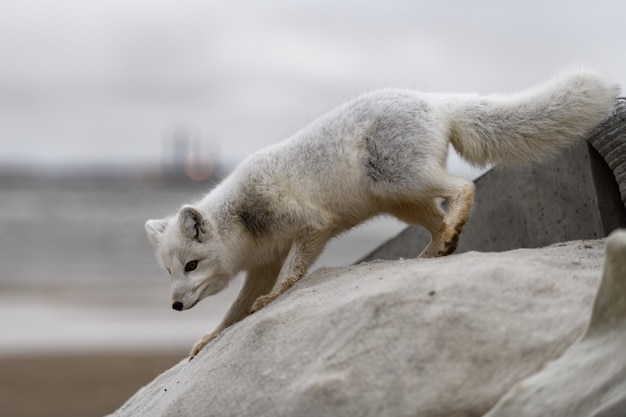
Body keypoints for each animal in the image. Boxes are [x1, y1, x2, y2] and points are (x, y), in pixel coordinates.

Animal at [145, 69, 616, 358]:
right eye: (169, 272)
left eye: (191, 265)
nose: (174, 306)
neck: (242, 220)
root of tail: (432, 100)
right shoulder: (262, 262)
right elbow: (234, 312)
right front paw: (209, 338)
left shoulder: (307, 225)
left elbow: (289, 277)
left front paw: (276, 298)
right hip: (401, 200)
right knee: (437, 219)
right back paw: (434, 251)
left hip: (399, 180)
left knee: (461, 188)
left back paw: (448, 233)